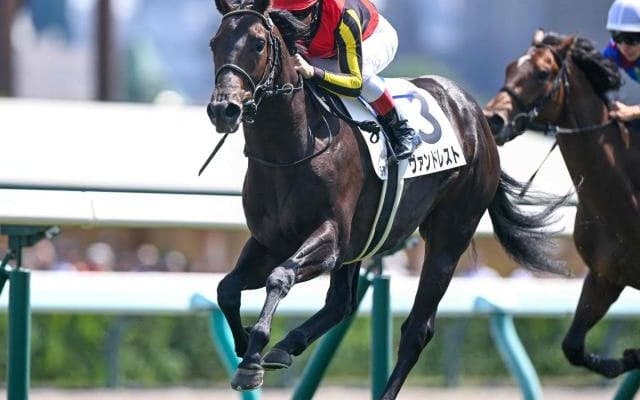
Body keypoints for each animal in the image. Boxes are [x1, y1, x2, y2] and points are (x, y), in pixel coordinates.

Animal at [208, 2, 565, 398]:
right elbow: (226, 289)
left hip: (449, 236)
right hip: (361, 243)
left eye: (257, 44)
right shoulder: (270, 241)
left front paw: (254, 354)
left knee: (417, 330)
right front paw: (245, 346)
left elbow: (280, 276)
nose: (224, 109)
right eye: (214, 43)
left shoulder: (330, 238)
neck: (290, 150)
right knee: (341, 303)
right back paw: (287, 346)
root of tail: (477, 116)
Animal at [483, 28, 640, 379]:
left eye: (543, 73)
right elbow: (573, 347)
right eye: (509, 67)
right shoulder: (604, 277)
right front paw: (627, 358)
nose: (493, 119)